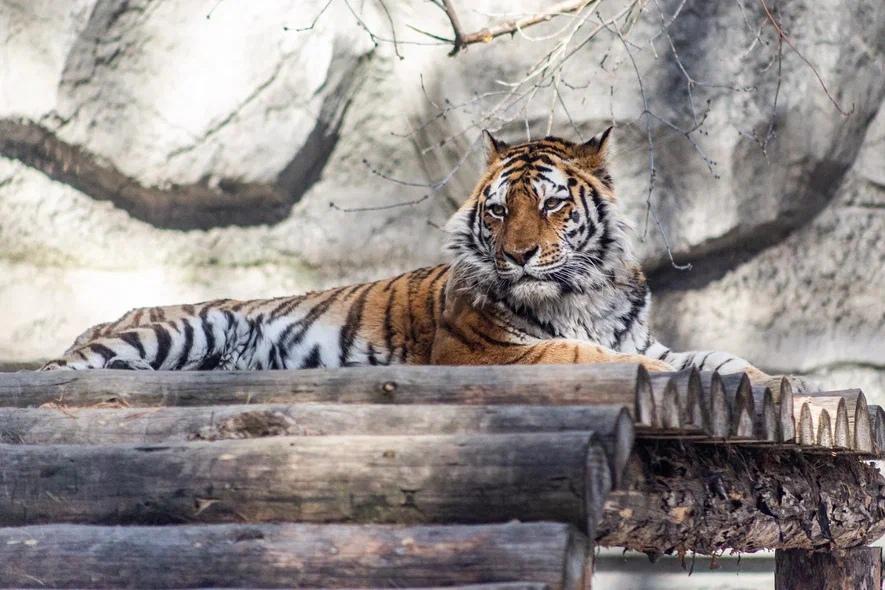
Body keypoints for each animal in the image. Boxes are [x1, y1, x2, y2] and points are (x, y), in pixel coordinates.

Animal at [39, 127, 788, 390]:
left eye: (552, 204)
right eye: (498, 210)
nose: (519, 255)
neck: (584, 293)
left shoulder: (639, 333)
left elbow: (707, 357)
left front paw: (767, 377)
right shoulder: (489, 349)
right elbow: (588, 354)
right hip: (182, 327)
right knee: (57, 372)